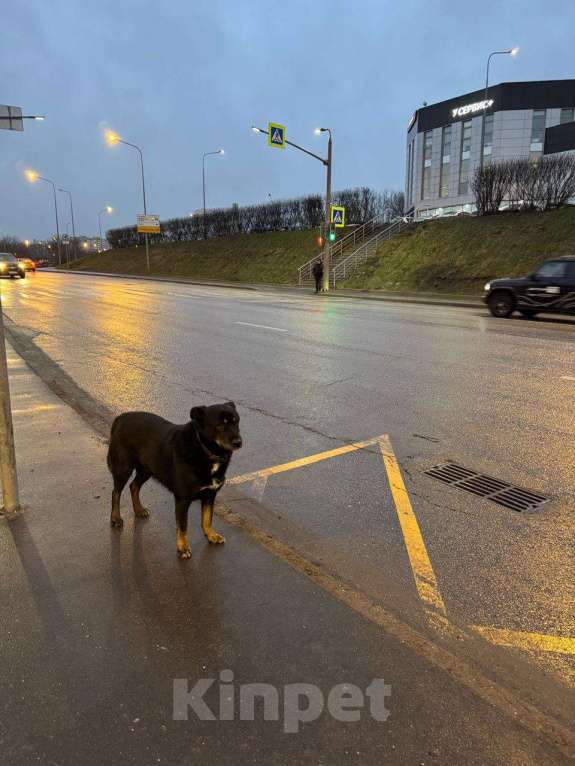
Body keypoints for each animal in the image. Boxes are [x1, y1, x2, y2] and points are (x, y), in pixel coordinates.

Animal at [107, 402, 242, 560]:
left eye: (236, 422)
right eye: (220, 425)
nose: (239, 442)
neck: (205, 451)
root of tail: (121, 417)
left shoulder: (210, 495)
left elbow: (207, 519)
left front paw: (211, 535)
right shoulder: (183, 499)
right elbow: (183, 526)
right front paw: (182, 547)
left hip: (147, 469)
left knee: (133, 486)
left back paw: (139, 510)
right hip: (124, 468)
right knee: (116, 493)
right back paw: (116, 518)